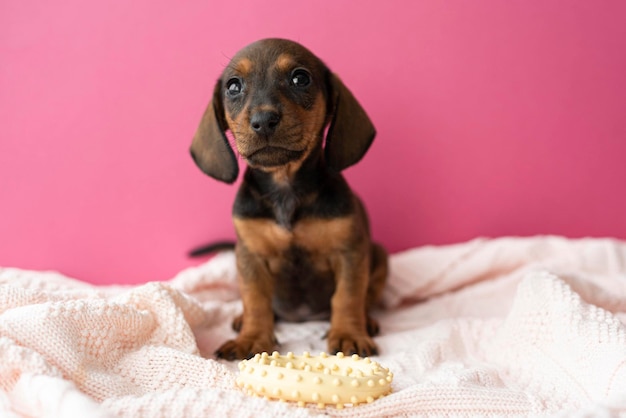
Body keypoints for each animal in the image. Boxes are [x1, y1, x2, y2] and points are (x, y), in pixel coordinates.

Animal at [189, 38, 386, 360]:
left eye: (300, 78)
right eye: (233, 86)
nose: (263, 120)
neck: (284, 187)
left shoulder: (350, 252)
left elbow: (347, 296)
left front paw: (348, 333)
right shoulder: (250, 257)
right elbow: (255, 299)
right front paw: (252, 337)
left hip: (379, 254)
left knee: (367, 296)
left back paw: (366, 321)